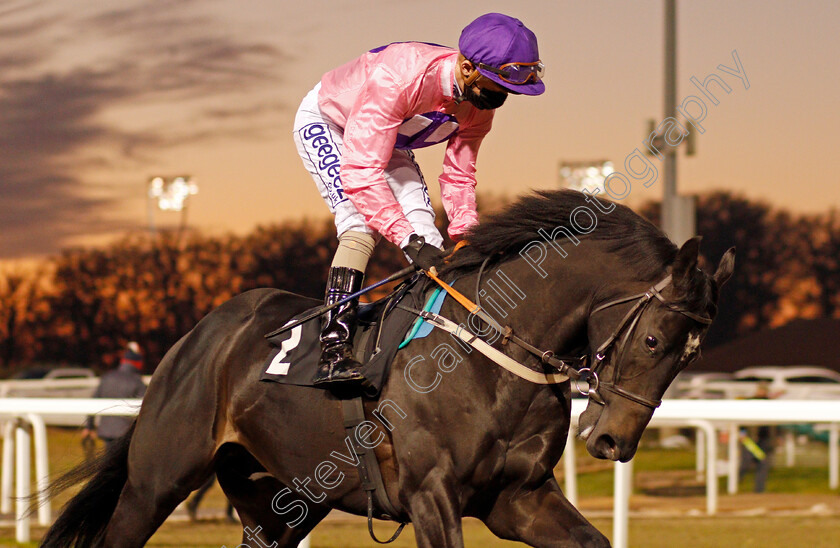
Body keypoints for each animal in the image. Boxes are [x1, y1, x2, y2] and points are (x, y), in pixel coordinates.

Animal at [41, 189, 736, 548]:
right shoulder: (431, 494)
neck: (493, 362)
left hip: (281, 500)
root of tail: (196, 338)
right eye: (654, 340)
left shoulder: (518, 497)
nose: (614, 440)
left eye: (690, 357)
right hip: (157, 482)